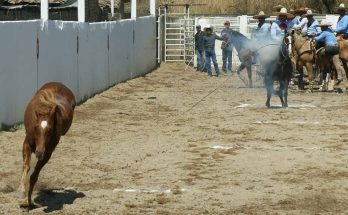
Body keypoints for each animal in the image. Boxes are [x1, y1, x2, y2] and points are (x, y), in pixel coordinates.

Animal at [18, 81, 75, 209]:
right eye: (35, 127)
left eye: (50, 130)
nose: (39, 152)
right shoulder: (27, 144)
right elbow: (26, 166)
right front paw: (22, 193)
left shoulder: (47, 152)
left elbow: (34, 176)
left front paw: (29, 202)